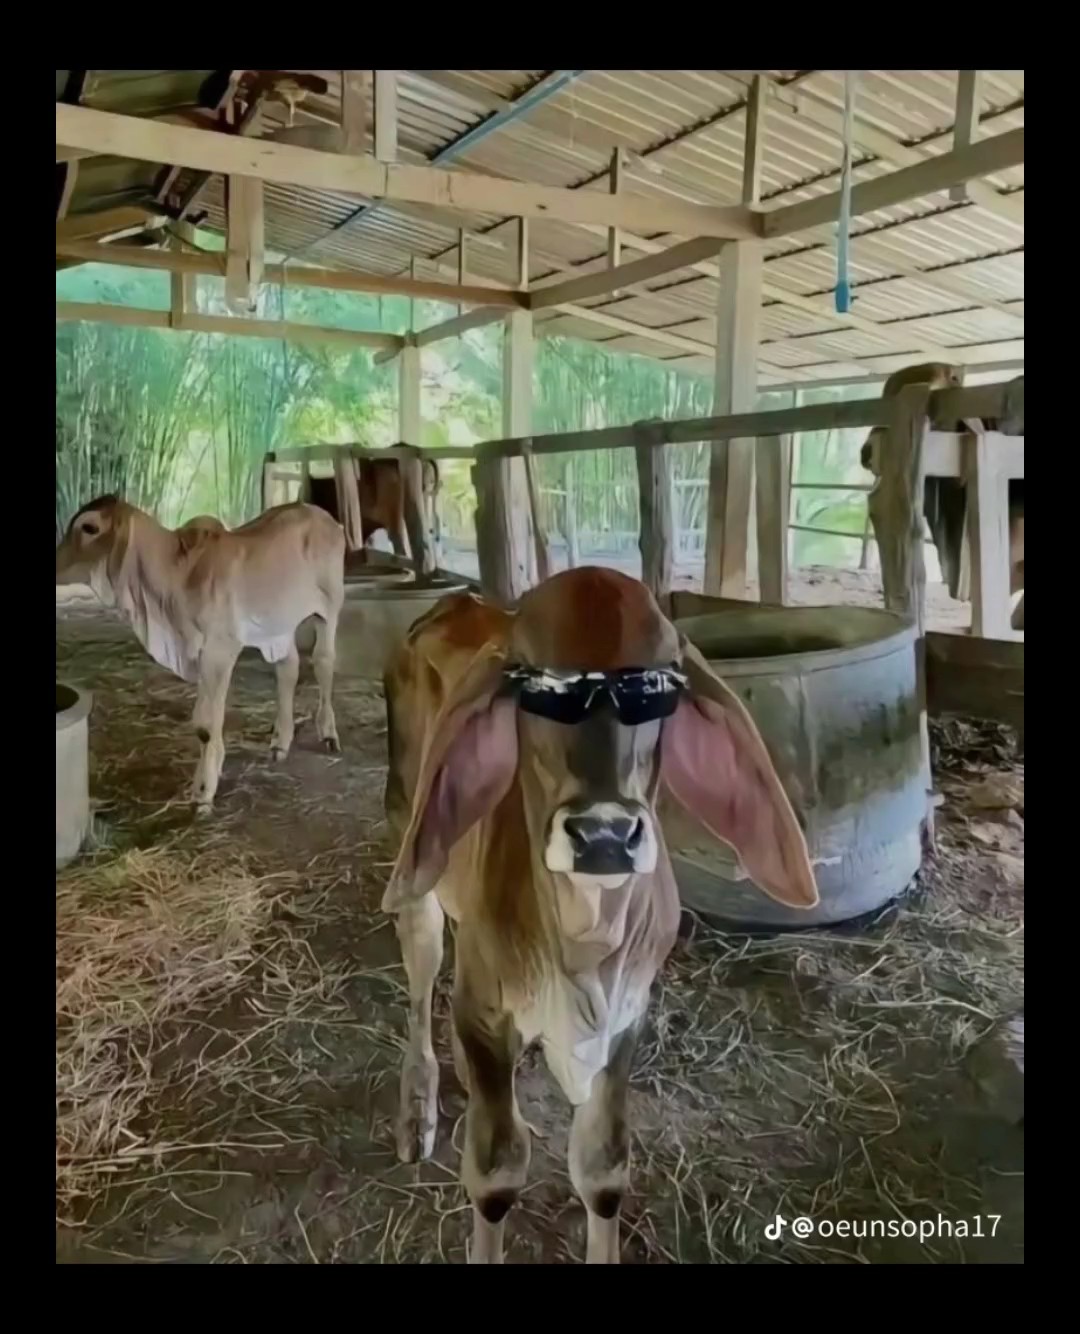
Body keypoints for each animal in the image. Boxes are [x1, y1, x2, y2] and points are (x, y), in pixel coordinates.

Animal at [55, 496, 345, 812]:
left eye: (89, 527)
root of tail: (323, 516)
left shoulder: (220, 650)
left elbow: (206, 725)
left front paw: (204, 790)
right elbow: (205, 720)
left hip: (329, 607)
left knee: (324, 662)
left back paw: (329, 733)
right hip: (279, 624)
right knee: (288, 667)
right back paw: (280, 741)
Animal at [382, 567, 818, 1264]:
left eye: (655, 686)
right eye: (537, 687)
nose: (604, 834)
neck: (585, 945)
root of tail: (454, 601)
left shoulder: (627, 1017)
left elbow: (603, 1170)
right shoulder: (486, 1007)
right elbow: (495, 1174)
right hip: (410, 854)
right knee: (422, 978)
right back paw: (417, 1104)